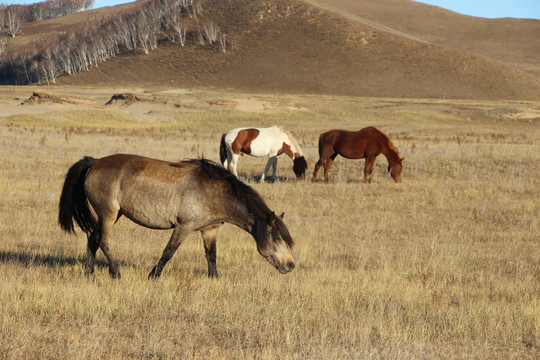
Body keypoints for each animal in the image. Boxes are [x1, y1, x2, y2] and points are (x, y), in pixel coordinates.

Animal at [58, 154, 296, 278]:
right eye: (276, 237)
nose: (291, 265)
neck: (216, 193)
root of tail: (94, 162)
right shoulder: (183, 227)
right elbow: (168, 252)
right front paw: (153, 275)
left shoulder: (210, 230)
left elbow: (211, 255)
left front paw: (214, 278)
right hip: (108, 214)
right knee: (103, 240)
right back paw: (115, 272)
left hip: (113, 214)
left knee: (93, 239)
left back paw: (89, 272)